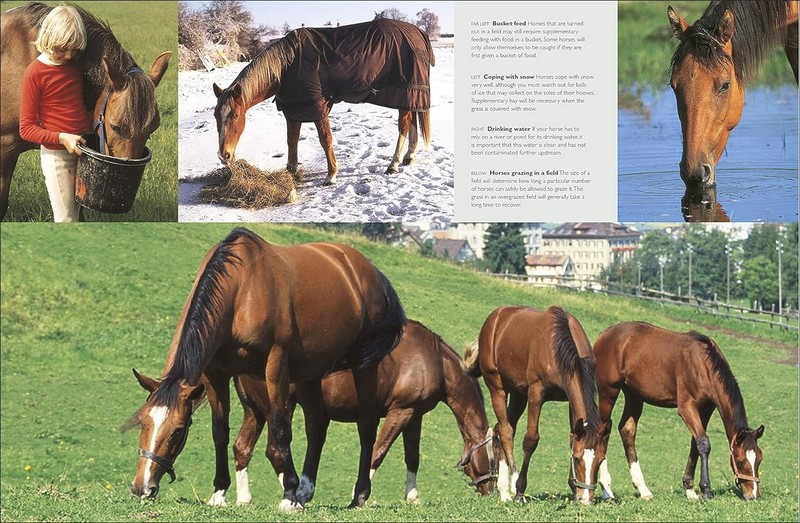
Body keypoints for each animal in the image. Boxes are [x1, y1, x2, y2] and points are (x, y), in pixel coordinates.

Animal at [125, 227, 406, 512]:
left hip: (364, 365)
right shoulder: (215, 374)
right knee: (316, 425)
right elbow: (220, 431)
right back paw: (305, 491)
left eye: (178, 430)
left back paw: (357, 494)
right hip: (310, 371)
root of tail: (368, 270)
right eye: (144, 422)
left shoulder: (276, 365)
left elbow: (281, 429)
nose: (142, 488)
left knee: (367, 426)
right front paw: (219, 492)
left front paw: (289, 495)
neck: (241, 290)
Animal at [202, 319, 496, 507]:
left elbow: (412, 457)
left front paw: (412, 497)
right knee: (274, 451)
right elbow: (377, 453)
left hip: (256, 411)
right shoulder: (400, 412)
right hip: (277, 406)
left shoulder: (414, 416)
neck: (432, 359)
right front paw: (358, 495)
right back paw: (290, 494)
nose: (491, 490)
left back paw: (241, 498)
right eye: (494, 460)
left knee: (242, 448)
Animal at [212, 18, 434, 185]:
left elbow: (325, 139)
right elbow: (291, 140)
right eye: (216, 116)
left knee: (404, 125)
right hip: (410, 94)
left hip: (405, 91)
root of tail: (417, 31)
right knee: (412, 120)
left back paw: (393, 164)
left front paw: (331, 175)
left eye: (235, 115)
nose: (224, 156)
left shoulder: (316, 105)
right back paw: (408, 157)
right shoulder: (295, 108)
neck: (288, 64)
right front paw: (291, 172)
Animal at [465, 306, 610, 505]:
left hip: (518, 394)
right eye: (577, 459)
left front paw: (573, 490)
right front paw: (519, 490)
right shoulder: (536, 394)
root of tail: (496, 316)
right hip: (497, 386)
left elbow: (572, 436)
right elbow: (531, 440)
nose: (586, 499)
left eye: (600, 460)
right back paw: (509, 488)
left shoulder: (569, 400)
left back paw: (502, 488)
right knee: (506, 432)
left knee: (499, 429)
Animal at [593, 321, 764, 501]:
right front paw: (706, 490)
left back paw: (643, 489)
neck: (703, 364)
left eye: (759, 459)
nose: (753, 495)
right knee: (603, 429)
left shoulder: (706, 409)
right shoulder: (686, 407)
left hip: (634, 395)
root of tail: (604, 334)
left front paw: (690, 489)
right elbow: (704, 443)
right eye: (739, 461)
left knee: (627, 430)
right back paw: (606, 489)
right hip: (608, 391)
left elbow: (696, 444)